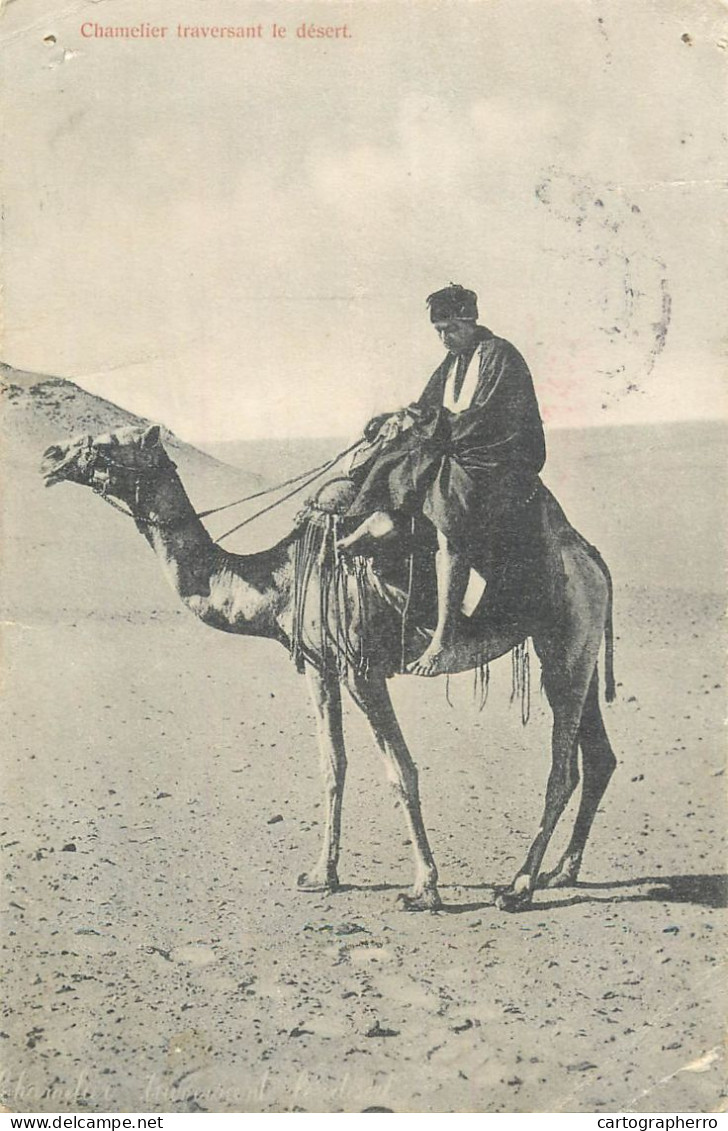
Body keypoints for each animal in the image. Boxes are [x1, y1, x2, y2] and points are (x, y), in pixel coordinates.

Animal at [42, 422, 614, 909]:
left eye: (108, 441)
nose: (50, 454)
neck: (280, 579)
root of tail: (590, 557)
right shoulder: (320, 666)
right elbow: (332, 764)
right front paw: (322, 875)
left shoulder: (362, 670)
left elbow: (401, 771)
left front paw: (424, 888)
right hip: (575, 651)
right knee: (599, 757)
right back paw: (560, 871)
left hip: (566, 643)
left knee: (562, 768)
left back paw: (519, 886)